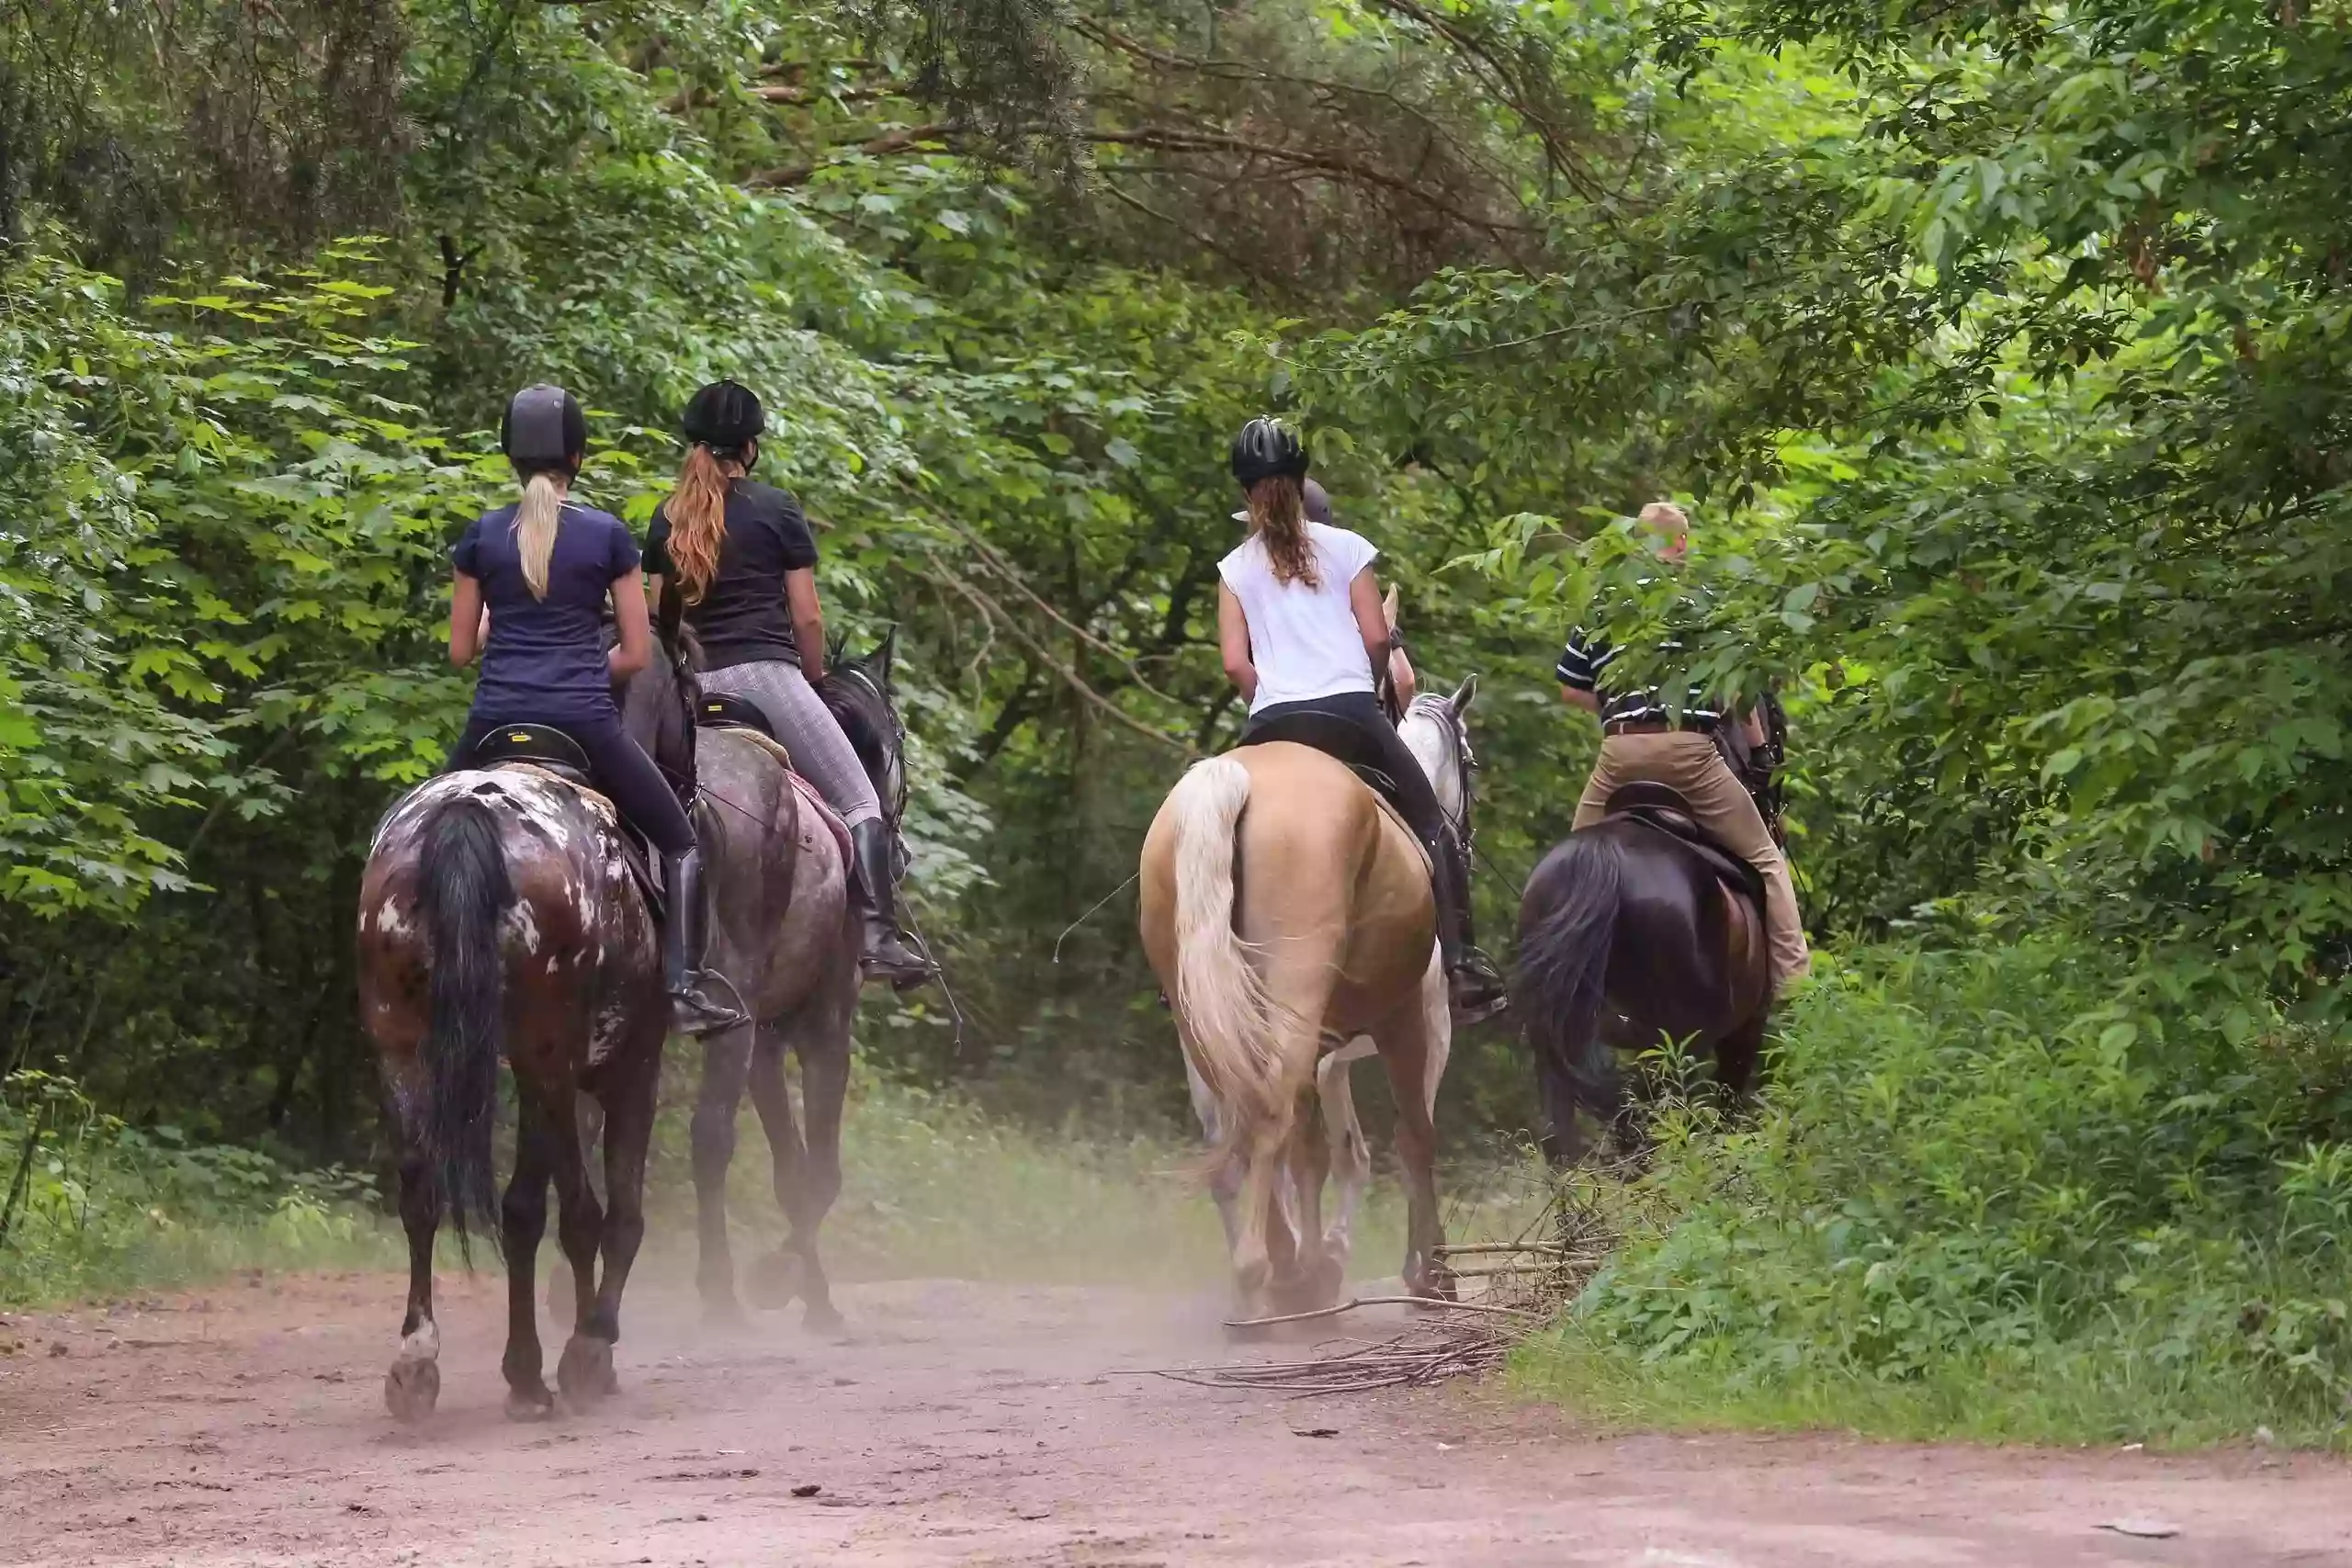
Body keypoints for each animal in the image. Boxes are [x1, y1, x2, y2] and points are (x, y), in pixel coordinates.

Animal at [362, 747, 668, 1419]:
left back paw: (416, 1362)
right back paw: (568, 1360)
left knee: (420, 1192)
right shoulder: (629, 1065)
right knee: (576, 1210)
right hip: (546, 1054)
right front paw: (583, 1348)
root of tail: (466, 811)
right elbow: (613, 1214)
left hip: (401, 1044)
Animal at [1148, 682, 1476, 1316]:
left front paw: (1321, 1257)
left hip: (1203, 1020)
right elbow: (1411, 1139)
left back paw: (1273, 1271)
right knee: (1270, 1115)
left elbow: (1328, 1152)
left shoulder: (1330, 1059)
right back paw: (1266, 1272)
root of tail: (1232, 780)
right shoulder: (1423, 1026)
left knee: (1237, 1136)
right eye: (1470, 763)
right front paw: (1429, 1275)